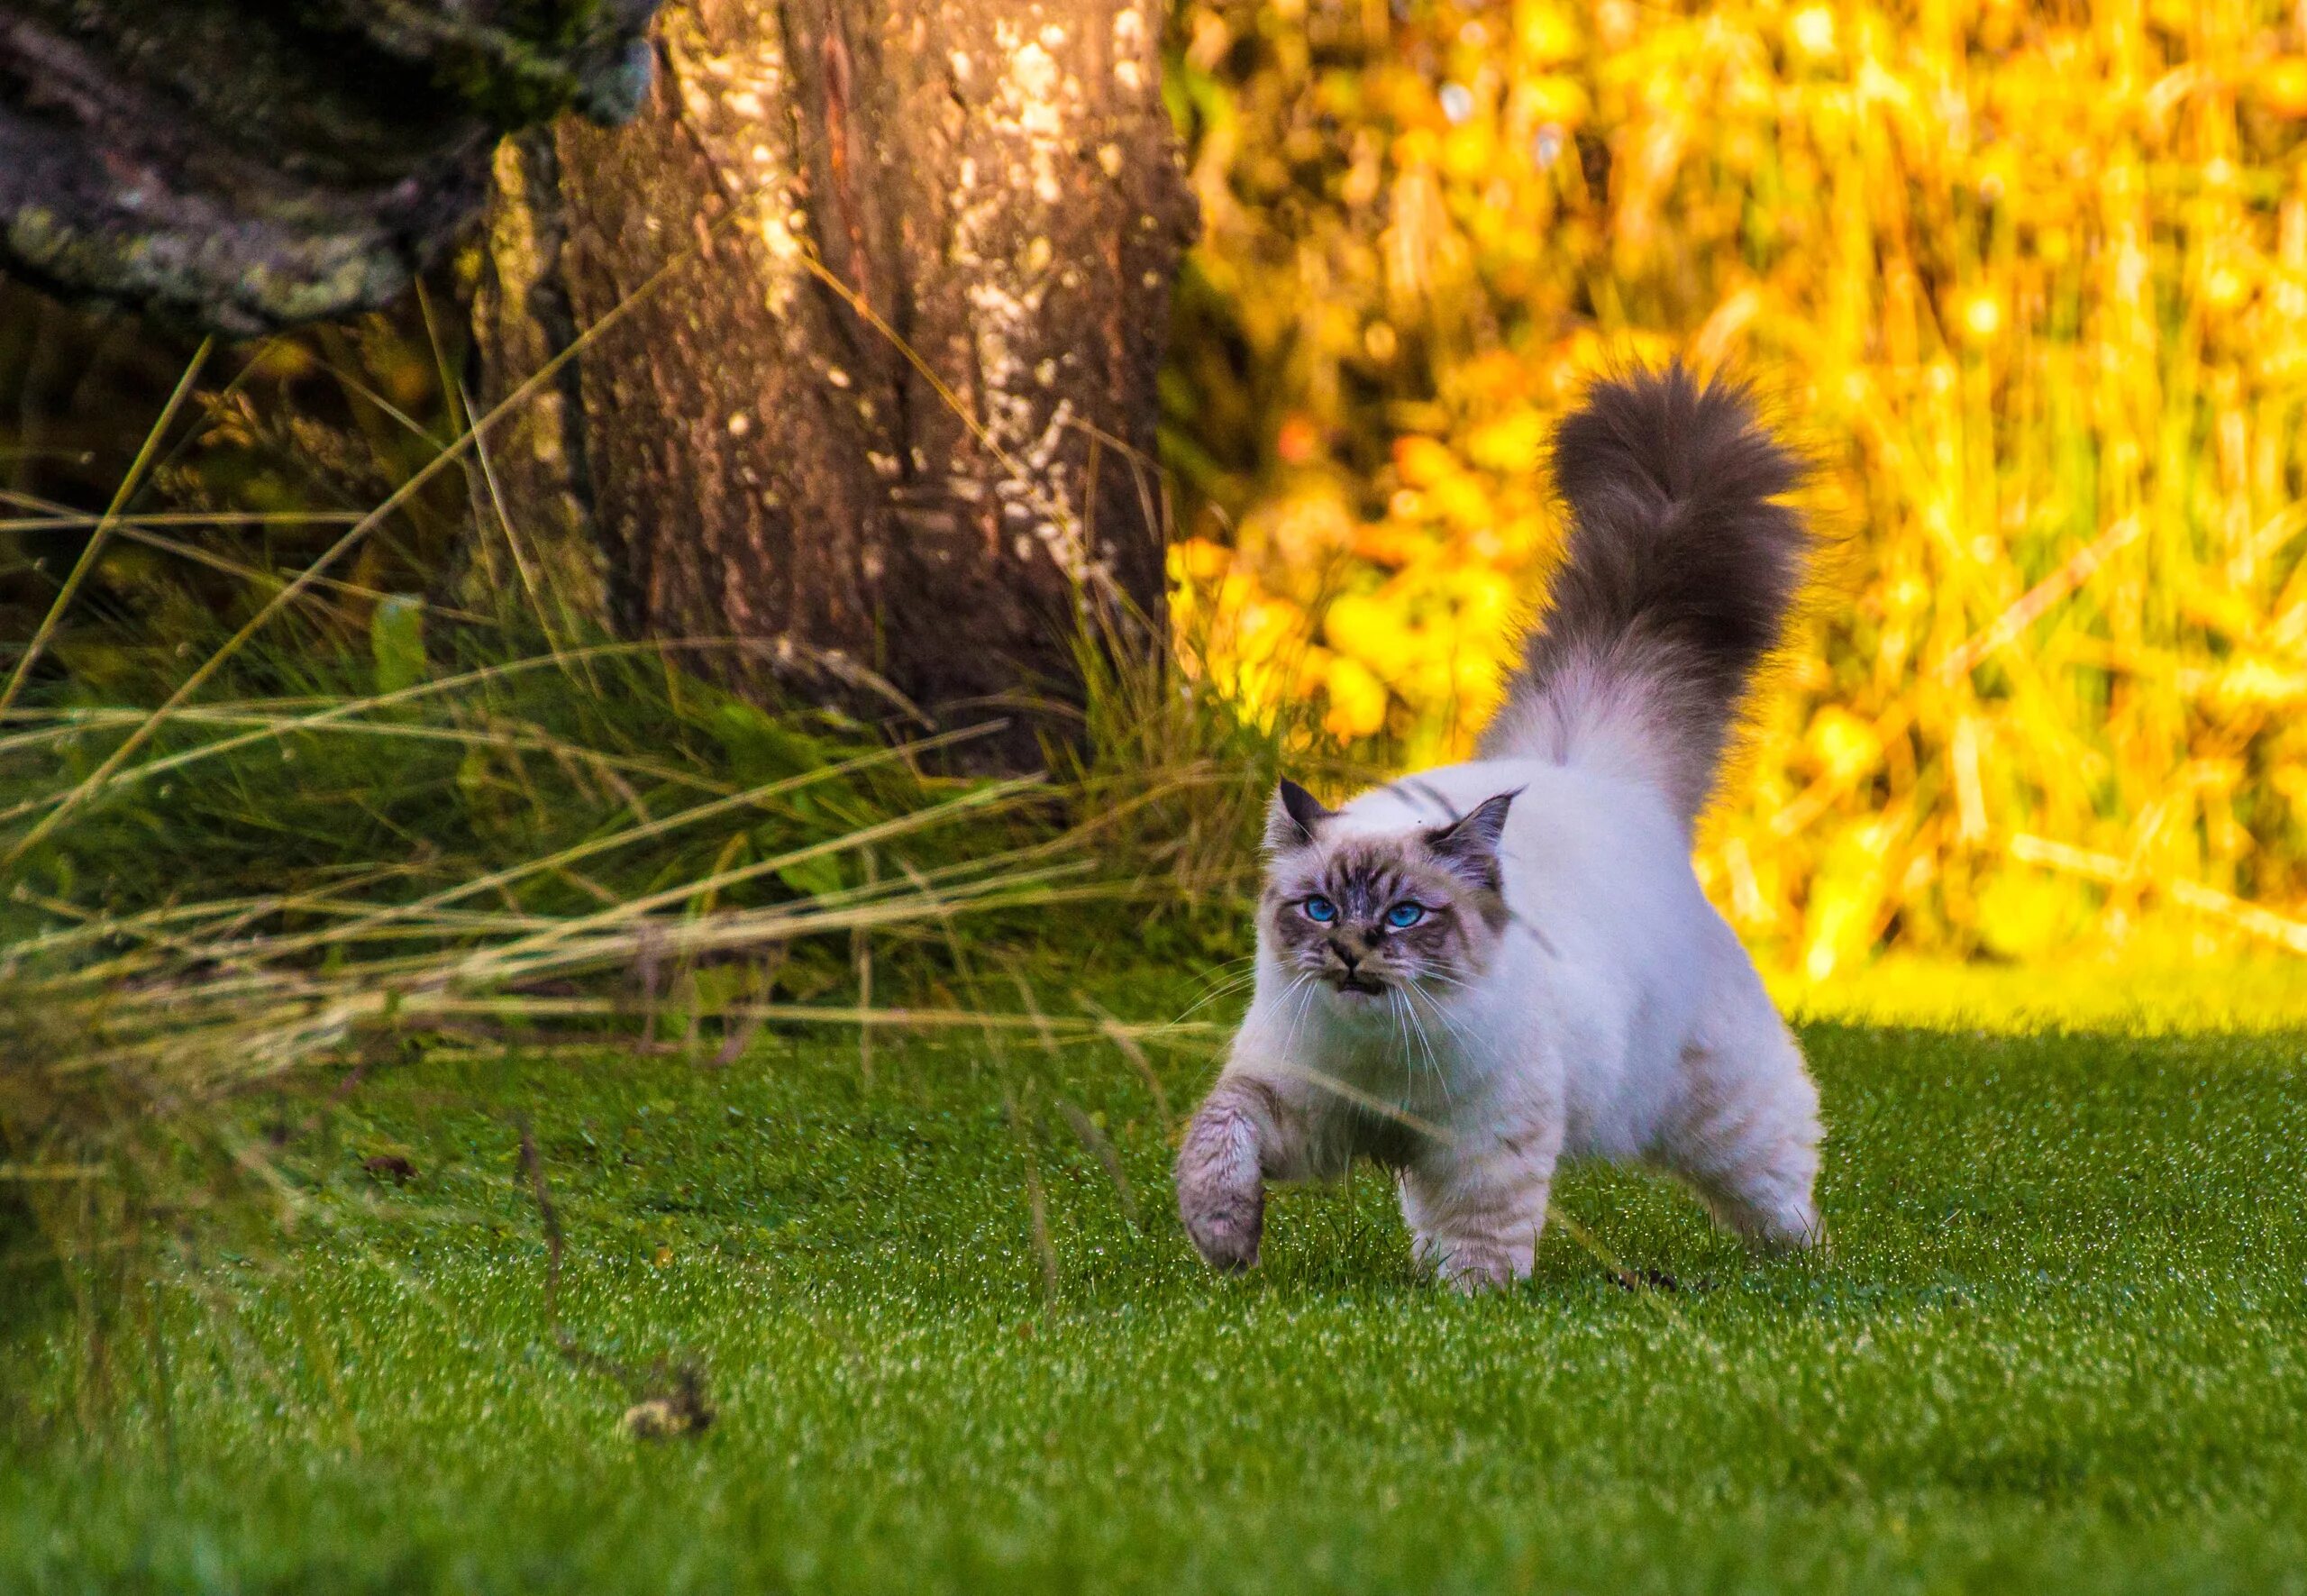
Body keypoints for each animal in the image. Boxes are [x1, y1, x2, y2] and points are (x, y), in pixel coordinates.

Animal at [1181, 366, 1827, 1291]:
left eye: (1405, 915)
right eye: (1319, 908)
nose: (1351, 950)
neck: (1384, 1058)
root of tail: (1597, 773)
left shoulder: (1485, 1143)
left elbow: (1486, 1239)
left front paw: (1471, 1305)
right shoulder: (1294, 1106)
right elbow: (1215, 1144)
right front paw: (1226, 1244)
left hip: (1727, 1114)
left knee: (1782, 1186)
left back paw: (1808, 1264)